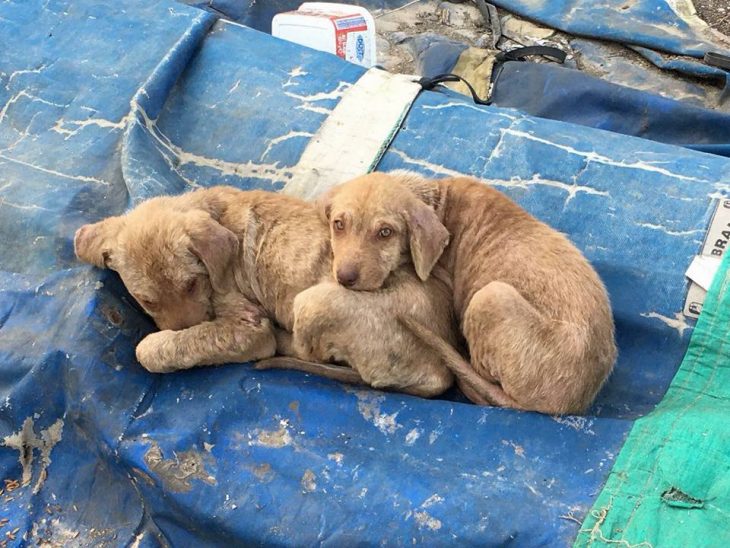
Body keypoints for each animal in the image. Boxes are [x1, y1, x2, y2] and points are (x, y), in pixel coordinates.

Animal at [318, 171, 616, 416]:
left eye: (385, 232)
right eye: (338, 224)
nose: (345, 278)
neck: (437, 200)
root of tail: (564, 405)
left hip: (489, 296)